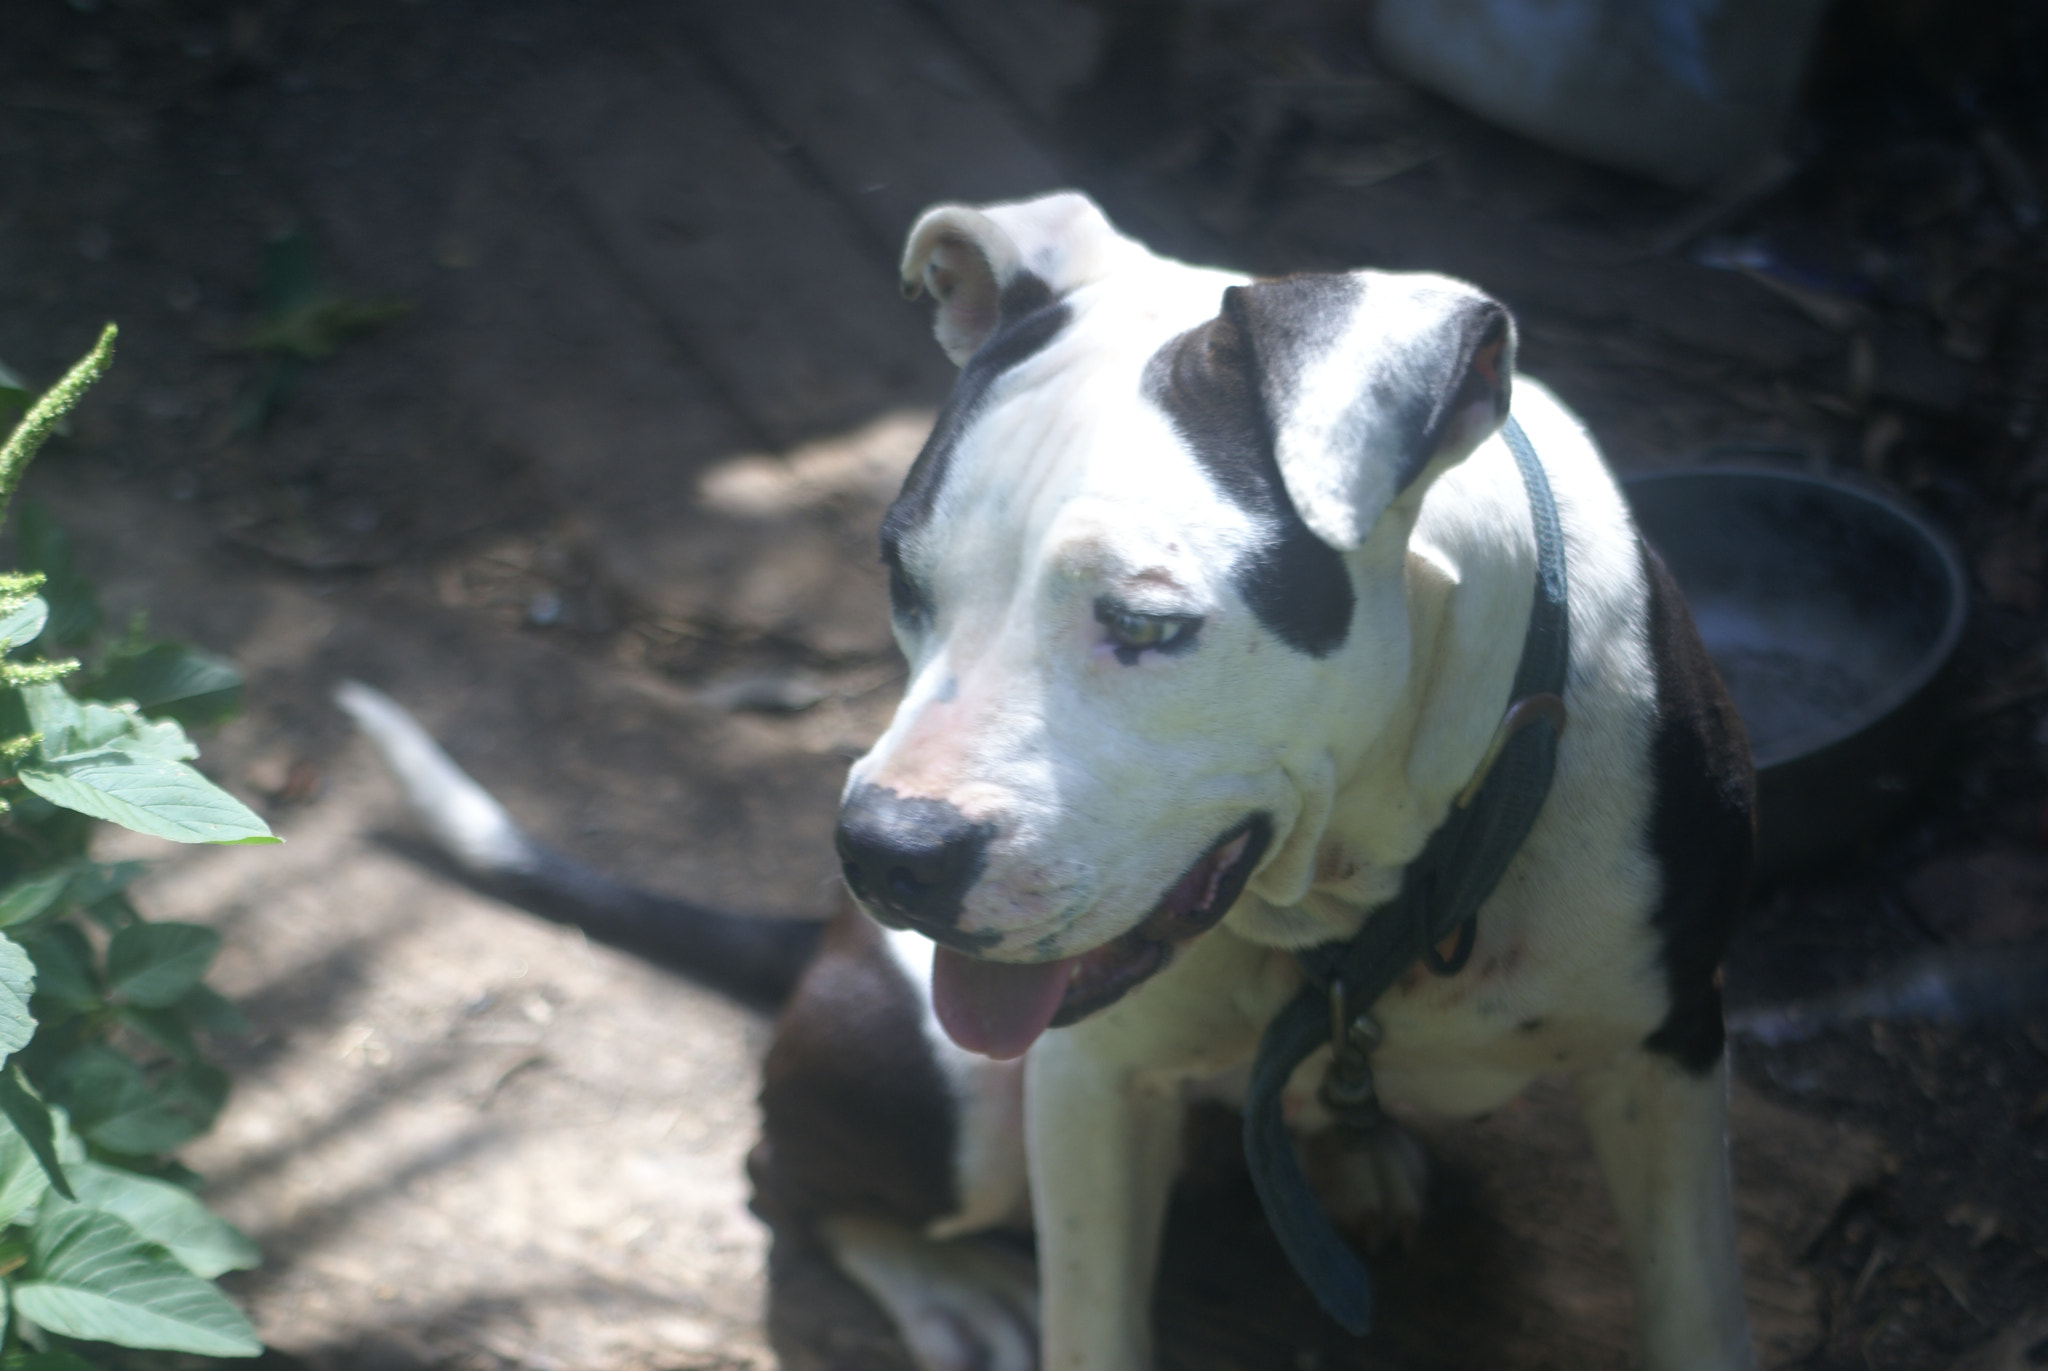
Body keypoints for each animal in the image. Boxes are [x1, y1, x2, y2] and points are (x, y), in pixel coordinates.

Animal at [344, 187, 1753, 1360]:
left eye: (1144, 622)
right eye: (900, 579)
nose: (883, 853)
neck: (1370, 897)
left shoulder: (1670, 1061)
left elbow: (1695, 1309)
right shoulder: (1088, 1089)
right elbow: (1091, 1315)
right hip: (955, 1101)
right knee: (779, 1181)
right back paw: (947, 1287)